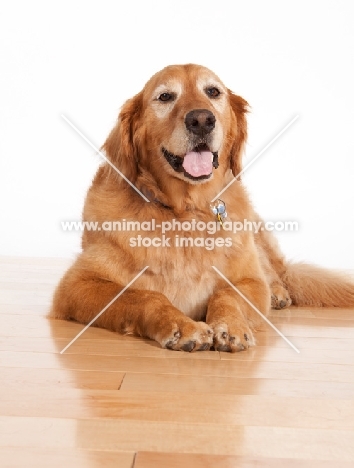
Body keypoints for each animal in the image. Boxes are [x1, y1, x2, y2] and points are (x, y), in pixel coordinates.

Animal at [51, 64, 354, 352]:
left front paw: (230, 326)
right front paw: (182, 327)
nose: (201, 120)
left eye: (213, 92)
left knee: (275, 274)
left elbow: (228, 293)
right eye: (165, 96)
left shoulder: (250, 282)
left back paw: (279, 293)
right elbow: (145, 296)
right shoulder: (77, 284)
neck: (186, 211)